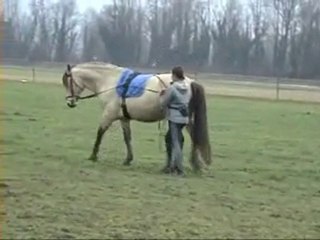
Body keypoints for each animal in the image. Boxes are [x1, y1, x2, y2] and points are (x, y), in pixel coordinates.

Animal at [62, 61, 212, 172]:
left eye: (68, 82)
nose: (70, 102)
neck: (110, 82)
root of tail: (190, 82)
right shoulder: (124, 118)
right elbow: (127, 137)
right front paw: (128, 159)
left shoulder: (108, 115)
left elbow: (100, 133)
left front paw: (93, 156)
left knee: (192, 136)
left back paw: (195, 164)